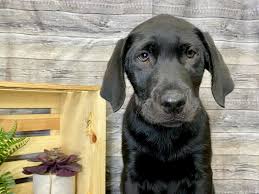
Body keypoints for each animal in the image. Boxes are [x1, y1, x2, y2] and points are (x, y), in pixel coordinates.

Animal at [100, 14, 235, 193]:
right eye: (144, 56)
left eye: (190, 53)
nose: (173, 103)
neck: (166, 134)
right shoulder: (131, 173)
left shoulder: (201, 172)